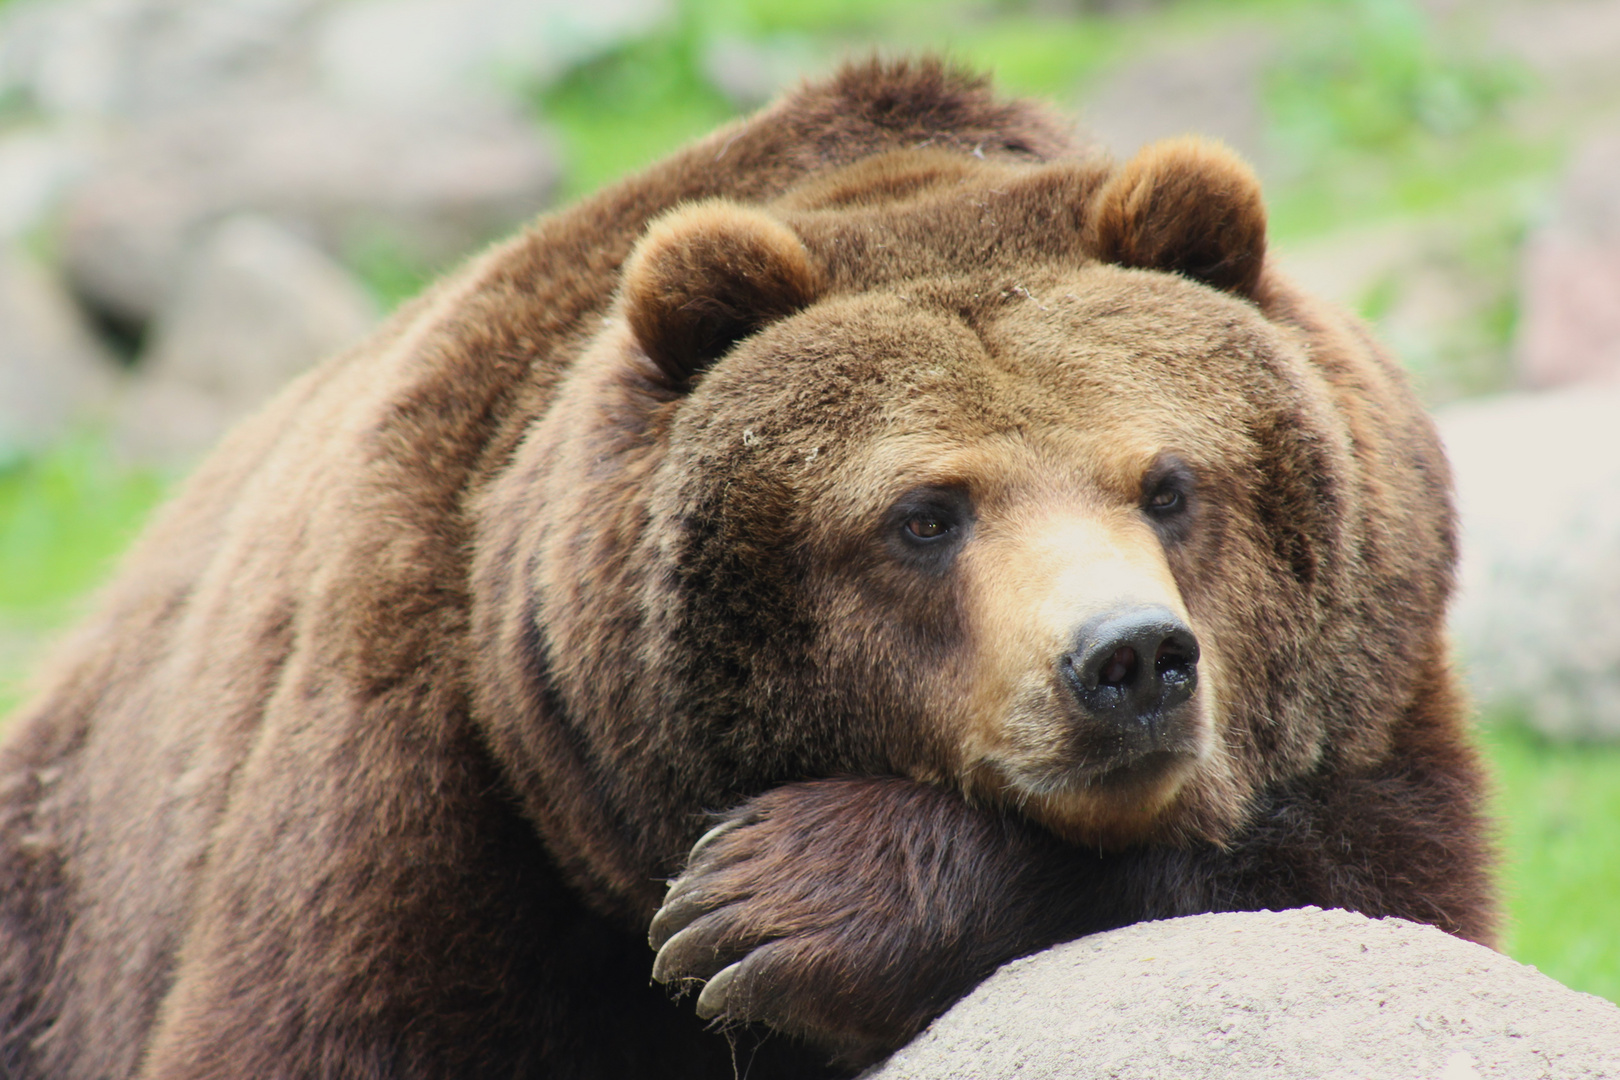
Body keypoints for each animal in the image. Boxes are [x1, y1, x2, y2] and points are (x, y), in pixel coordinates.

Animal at [0, 59, 1490, 1080]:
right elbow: (337, 1024)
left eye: (1169, 482)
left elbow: (1345, 897)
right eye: (926, 514)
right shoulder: (435, 778)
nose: (1126, 659)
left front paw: (777, 898)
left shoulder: (1373, 705)